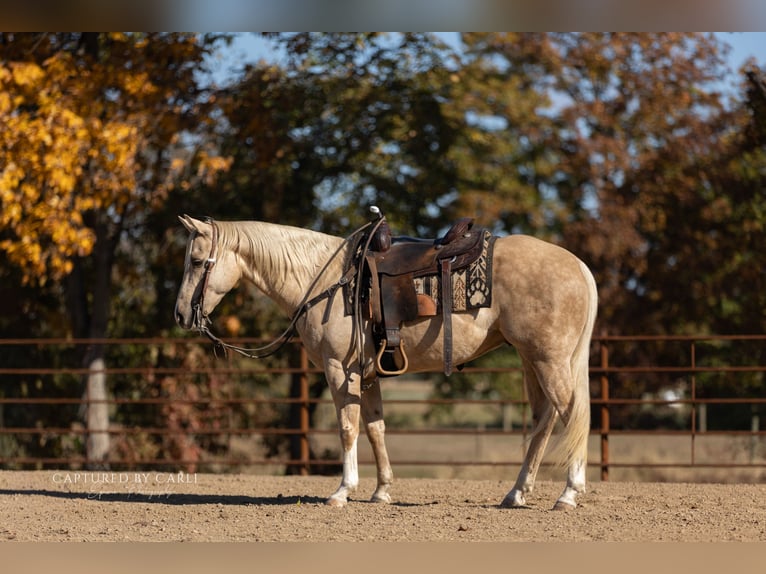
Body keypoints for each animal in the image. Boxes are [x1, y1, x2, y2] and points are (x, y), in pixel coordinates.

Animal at [174, 214, 598, 510]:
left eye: (195, 261)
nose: (180, 315)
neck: (322, 279)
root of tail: (579, 266)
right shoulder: (368, 374)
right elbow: (375, 427)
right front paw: (381, 491)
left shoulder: (339, 369)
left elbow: (347, 428)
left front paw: (342, 491)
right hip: (532, 361)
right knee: (545, 420)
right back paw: (516, 493)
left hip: (549, 361)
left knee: (570, 414)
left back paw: (568, 494)